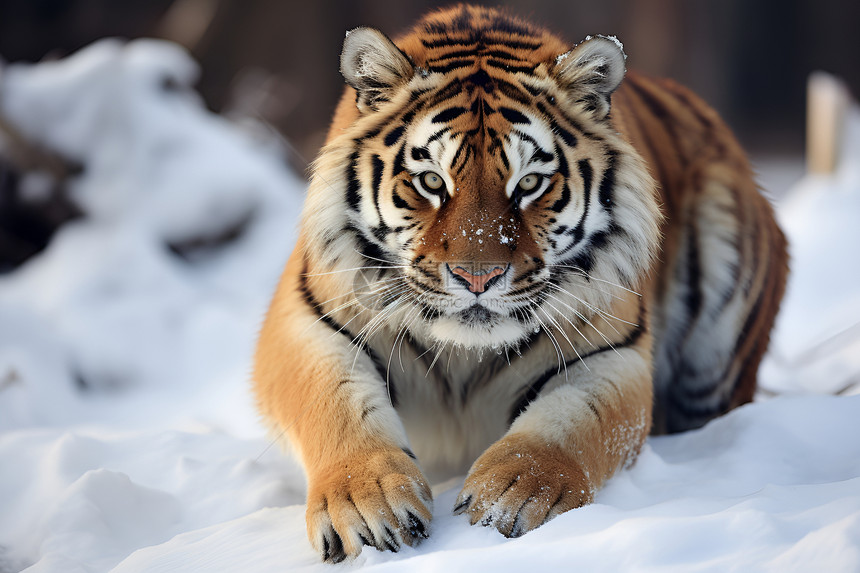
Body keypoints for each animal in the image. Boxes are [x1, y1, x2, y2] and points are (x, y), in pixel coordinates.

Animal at [252, 4, 788, 564]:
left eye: (529, 183)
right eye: (431, 181)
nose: (478, 277)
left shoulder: (611, 350)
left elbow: (569, 423)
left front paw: (511, 495)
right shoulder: (310, 318)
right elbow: (335, 405)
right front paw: (366, 506)